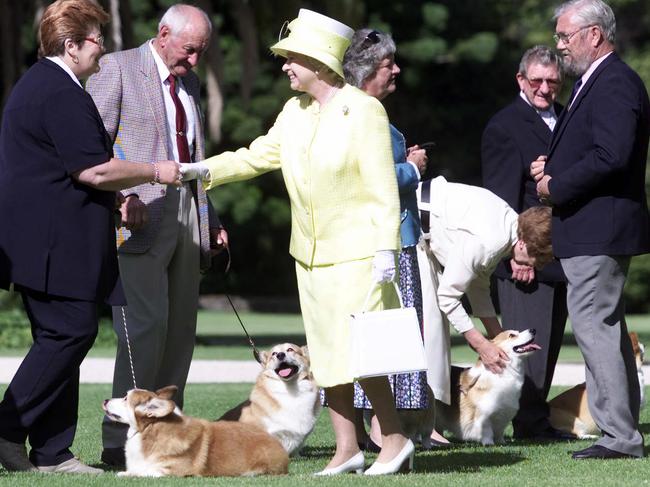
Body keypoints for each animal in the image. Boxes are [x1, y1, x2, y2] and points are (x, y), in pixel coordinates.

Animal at [102, 386, 288, 478]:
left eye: (125, 398)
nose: (105, 400)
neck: (148, 431)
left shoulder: (173, 471)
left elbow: (145, 471)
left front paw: (126, 474)